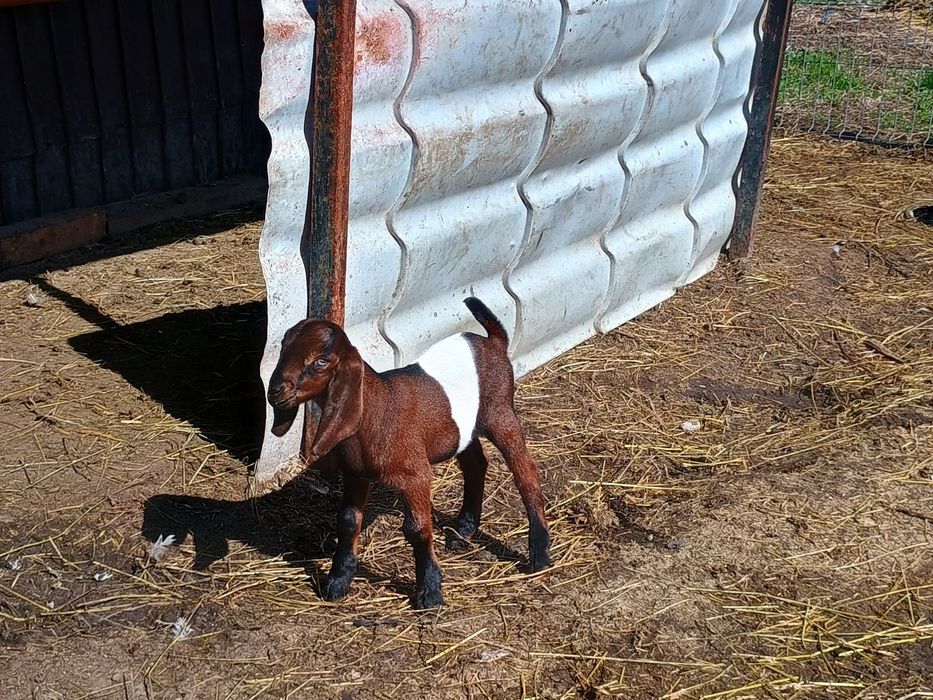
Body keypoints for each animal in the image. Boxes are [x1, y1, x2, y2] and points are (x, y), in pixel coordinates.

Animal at [267, 297, 551, 608]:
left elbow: (417, 529)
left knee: (525, 471)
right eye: (282, 347)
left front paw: (430, 591)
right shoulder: (355, 474)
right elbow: (347, 521)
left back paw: (539, 554)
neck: (377, 411)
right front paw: (338, 581)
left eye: (320, 361)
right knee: (476, 464)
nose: (275, 391)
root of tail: (494, 342)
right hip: (463, 430)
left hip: (500, 413)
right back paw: (463, 530)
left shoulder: (414, 475)